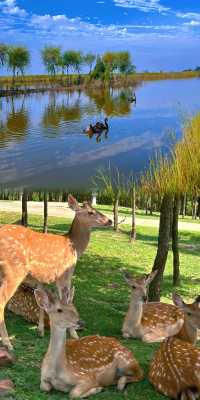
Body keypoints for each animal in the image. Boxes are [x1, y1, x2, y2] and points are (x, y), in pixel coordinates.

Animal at [0, 192, 111, 348]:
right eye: (91, 212)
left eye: (96, 209)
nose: (110, 220)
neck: (74, 247)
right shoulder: (65, 274)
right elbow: (66, 299)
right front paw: (73, 333)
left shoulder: (41, 278)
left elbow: (42, 302)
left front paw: (40, 330)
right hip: (13, 272)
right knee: (1, 302)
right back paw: (7, 343)